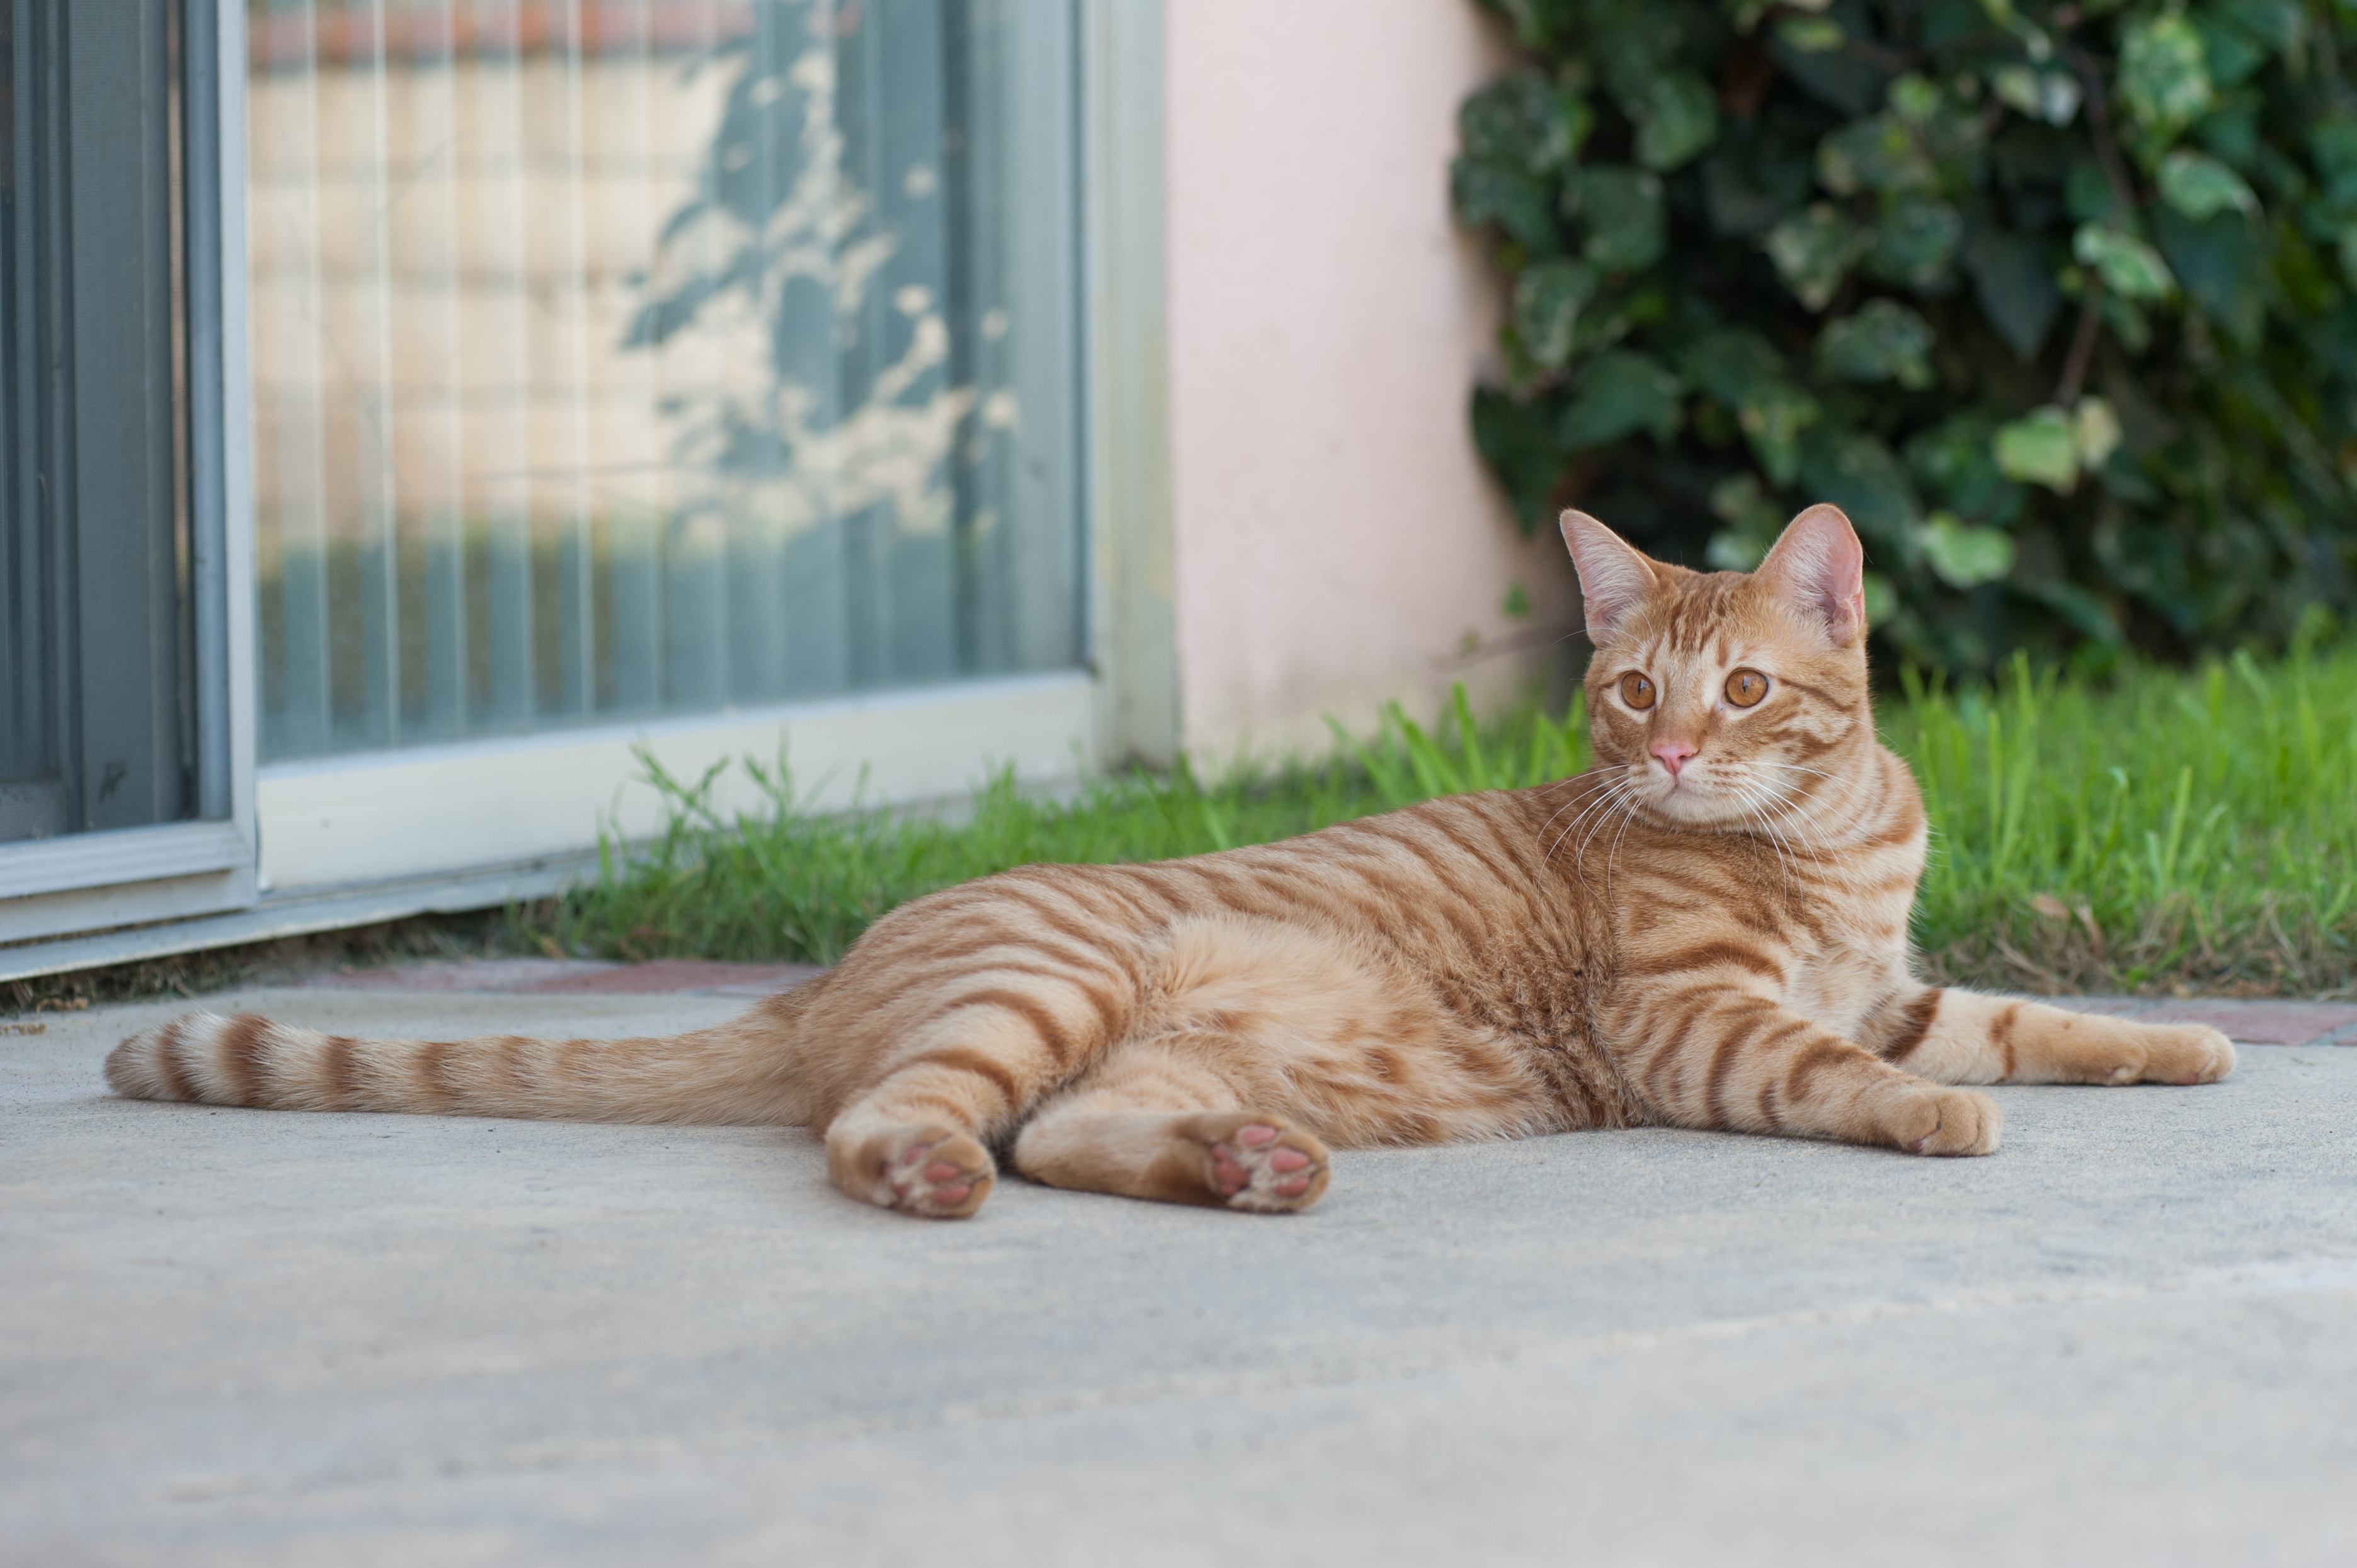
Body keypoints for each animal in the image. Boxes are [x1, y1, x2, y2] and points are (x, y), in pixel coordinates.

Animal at [106, 507, 2225, 1217]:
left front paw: (2179, 1047)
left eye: (1745, 688)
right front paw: (1930, 1122)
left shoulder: (1902, 979)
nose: (1673, 752)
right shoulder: (1696, 1027)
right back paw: (941, 1174)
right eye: (1628, 692)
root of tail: (819, 974)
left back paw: (1240, 1167)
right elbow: (1843, 1073)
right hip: (1051, 984)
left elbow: (2031, 1018)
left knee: (1068, 1134)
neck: (1822, 848)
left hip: (1135, 1045)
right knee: (894, 1124)